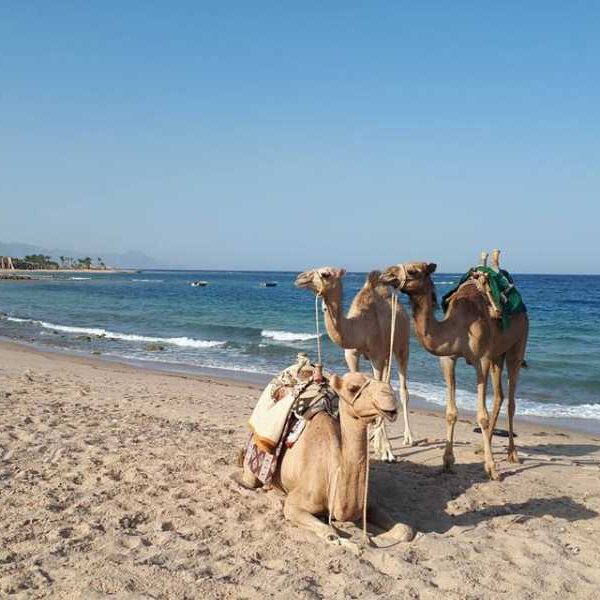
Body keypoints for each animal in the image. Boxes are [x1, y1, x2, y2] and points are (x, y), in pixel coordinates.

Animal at [237, 372, 414, 552]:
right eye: (352, 388)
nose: (389, 395)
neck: (332, 475)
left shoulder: (369, 503)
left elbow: (405, 530)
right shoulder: (294, 503)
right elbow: (330, 533)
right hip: (252, 467)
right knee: (247, 481)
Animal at [294, 268, 412, 460]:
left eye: (325, 274)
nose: (300, 278)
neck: (360, 327)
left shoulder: (377, 357)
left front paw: (386, 450)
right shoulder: (351, 355)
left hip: (402, 346)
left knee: (402, 389)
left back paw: (407, 438)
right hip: (387, 355)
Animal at [380, 260, 528, 480]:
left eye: (413, 271)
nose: (385, 275)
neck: (459, 324)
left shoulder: (482, 359)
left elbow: (481, 416)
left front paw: (492, 468)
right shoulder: (447, 359)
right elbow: (451, 412)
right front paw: (447, 462)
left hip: (517, 345)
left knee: (511, 400)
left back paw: (512, 453)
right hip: (497, 355)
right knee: (500, 395)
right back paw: (483, 448)